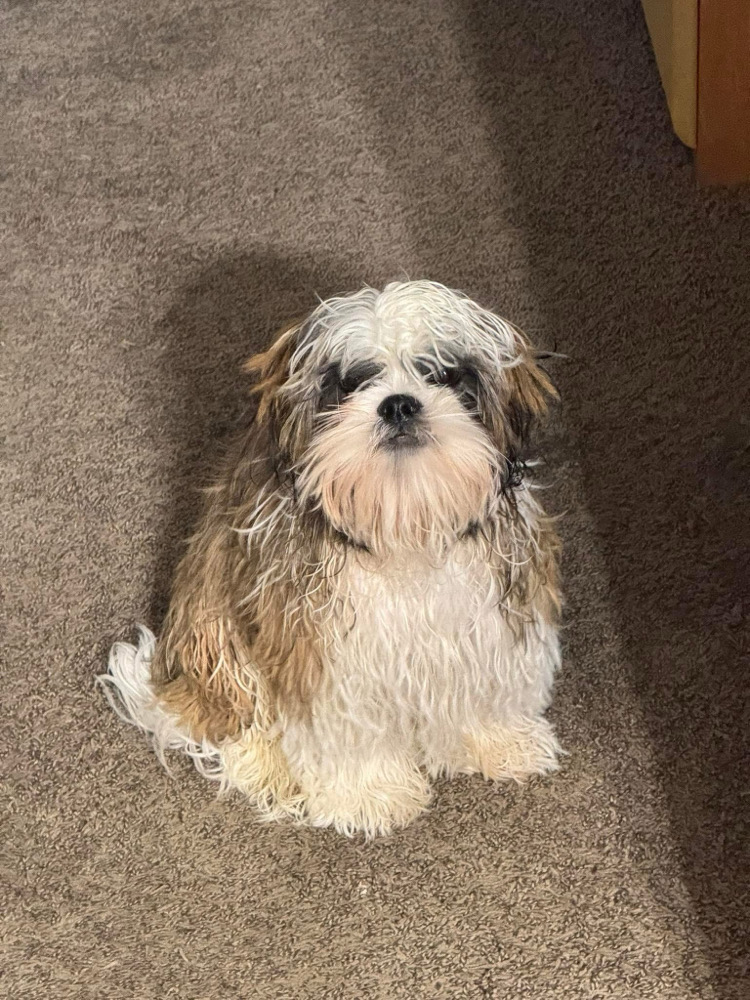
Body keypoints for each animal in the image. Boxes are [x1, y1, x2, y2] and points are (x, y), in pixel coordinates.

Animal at [99, 280, 563, 837]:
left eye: (445, 375)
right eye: (351, 383)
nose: (399, 405)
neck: (400, 519)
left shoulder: (488, 618)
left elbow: (489, 688)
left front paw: (501, 742)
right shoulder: (325, 654)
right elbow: (347, 732)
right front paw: (371, 795)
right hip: (214, 629)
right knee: (234, 718)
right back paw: (269, 768)